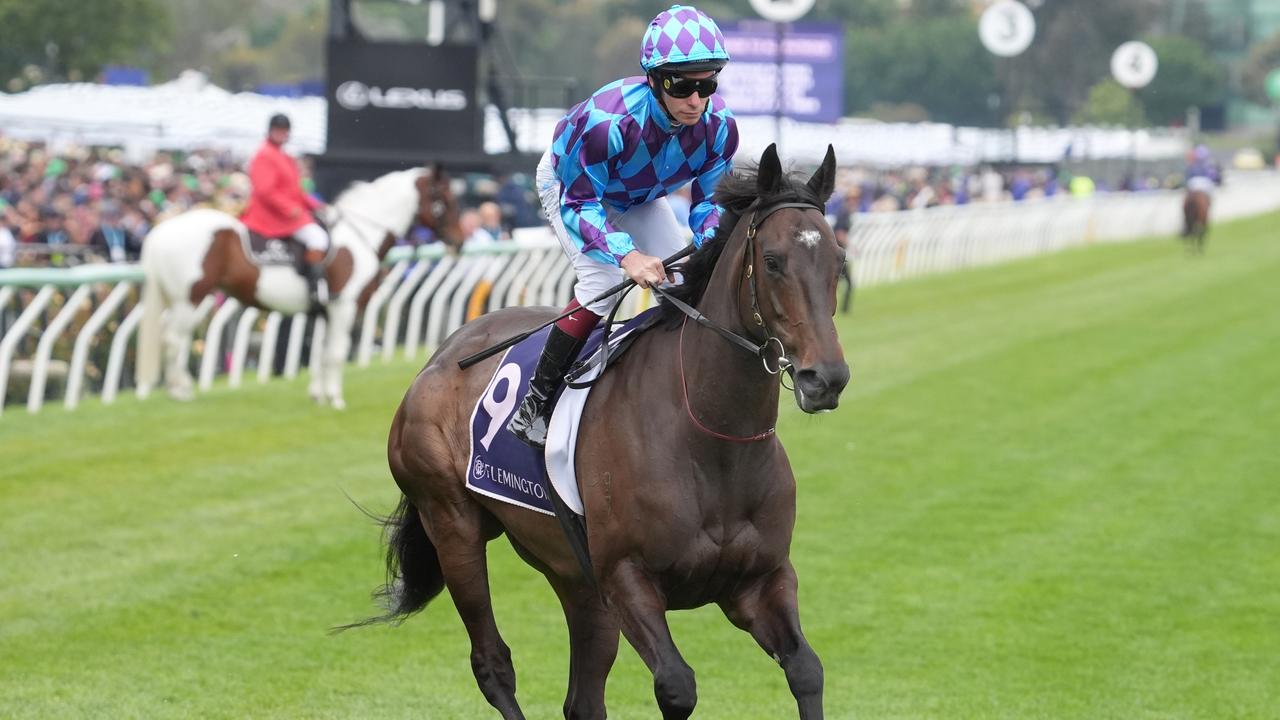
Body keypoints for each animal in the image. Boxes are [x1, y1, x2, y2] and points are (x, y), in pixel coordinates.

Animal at [135, 165, 463, 407]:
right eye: (445, 199)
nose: (459, 240)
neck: (360, 235)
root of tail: (161, 230)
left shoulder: (326, 311)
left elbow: (320, 351)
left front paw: (319, 394)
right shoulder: (344, 307)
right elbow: (335, 352)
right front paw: (335, 398)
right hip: (189, 299)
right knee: (173, 340)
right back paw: (180, 391)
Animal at [366, 142, 849, 712]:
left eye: (838, 261)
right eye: (772, 262)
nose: (826, 378)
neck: (710, 439)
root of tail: (441, 357)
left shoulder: (759, 580)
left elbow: (806, 669)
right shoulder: (627, 578)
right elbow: (677, 685)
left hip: (573, 575)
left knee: (582, 697)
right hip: (453, 525)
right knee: (492, 663)